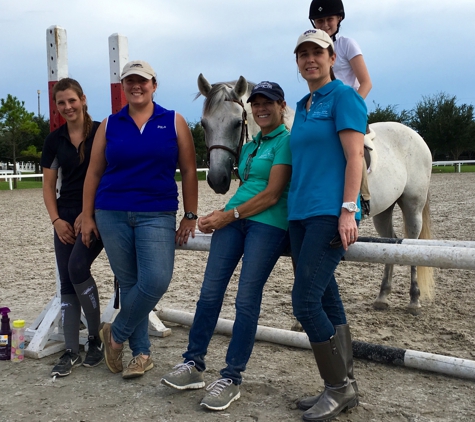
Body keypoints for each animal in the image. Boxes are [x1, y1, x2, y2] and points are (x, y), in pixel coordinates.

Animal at [196, 75, 436, 314]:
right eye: (204, 124)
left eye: (237, 123)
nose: (217, 179)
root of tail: (414, 134)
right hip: (384, 211)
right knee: (391, 243)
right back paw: (383, 296)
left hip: (412, 206)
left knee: (413, 243)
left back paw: (414, 299)